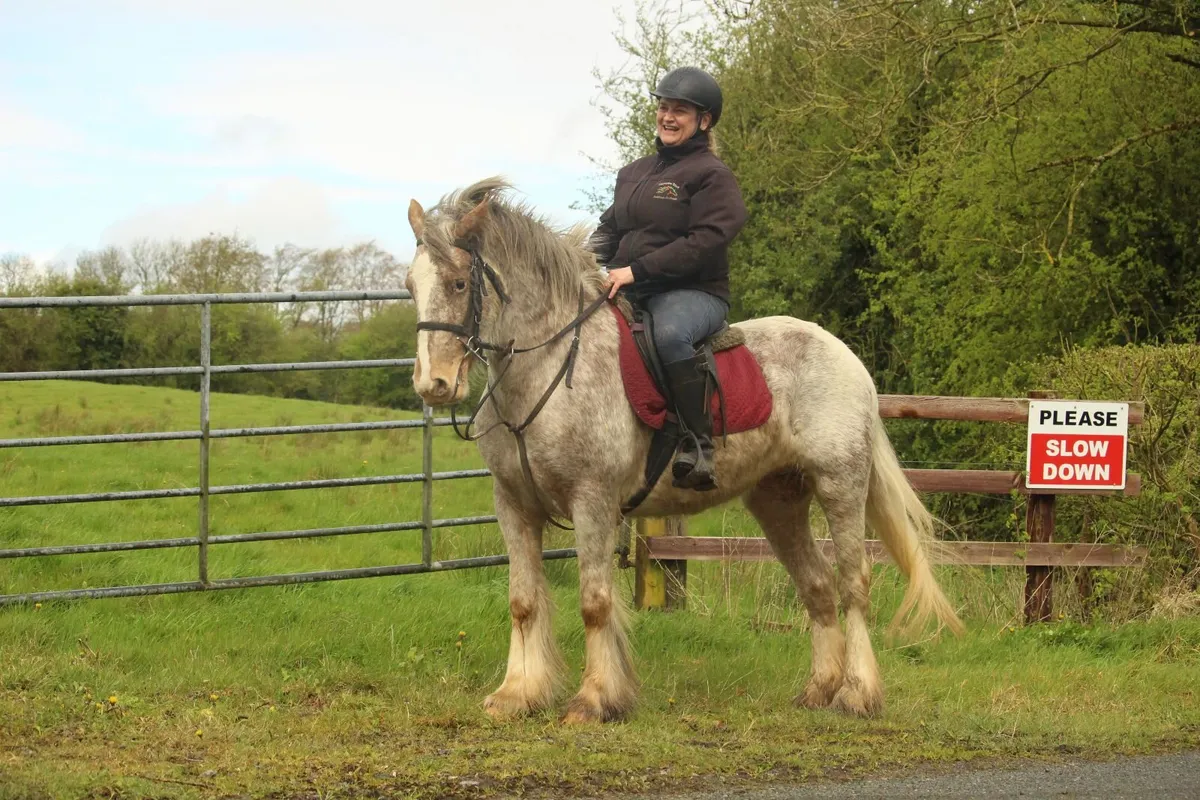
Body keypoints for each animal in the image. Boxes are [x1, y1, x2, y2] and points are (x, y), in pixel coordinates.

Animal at [404, 177, 963, 723]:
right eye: (411, 286)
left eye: (459, 283)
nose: (434, 384)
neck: (551, 367)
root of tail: (846, 357)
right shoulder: (515, 504)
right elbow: (522, 601)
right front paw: (517, 694)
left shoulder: (593, 501)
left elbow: (595, 602)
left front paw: (595, 699)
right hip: (778, 502)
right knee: (818, 586)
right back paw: (818, 690)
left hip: (840, 486)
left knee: (853, 584)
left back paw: (856, 694)